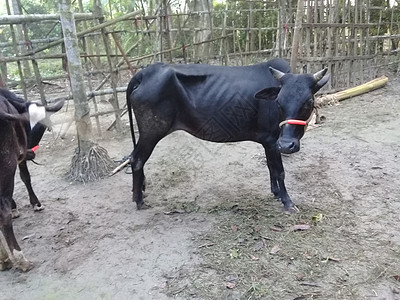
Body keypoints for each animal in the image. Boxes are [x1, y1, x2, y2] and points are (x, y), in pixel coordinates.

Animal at [126, 58, 330, 211]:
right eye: (279, 102)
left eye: (308, 101)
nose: (287, 145)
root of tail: (144, 73)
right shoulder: (273, 141)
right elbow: (279, 171)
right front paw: (288, 202)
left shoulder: (269, 143)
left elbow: (271, 168)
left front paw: (276, 193)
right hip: (151, 131)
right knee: (136, 159)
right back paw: (139, 201)